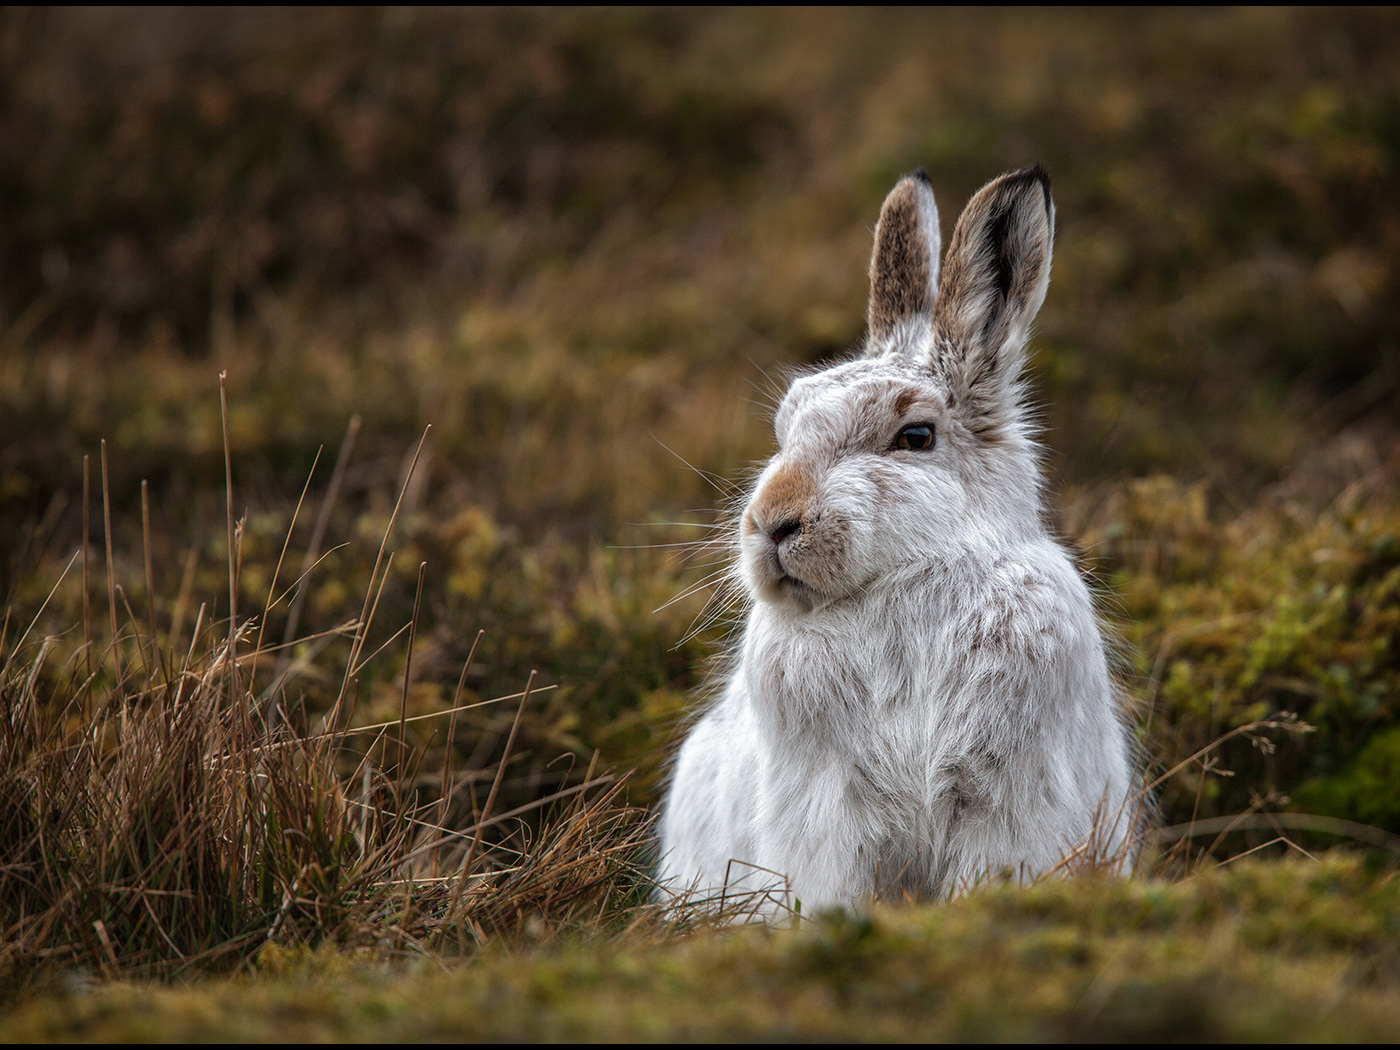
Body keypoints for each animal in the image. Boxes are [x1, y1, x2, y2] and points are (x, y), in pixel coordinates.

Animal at [656, 165, 1141, 915]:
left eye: (914, 437)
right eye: (785, 427)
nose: (773, 523)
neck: (905, 579)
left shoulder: (1004, 797)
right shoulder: (830, 808)